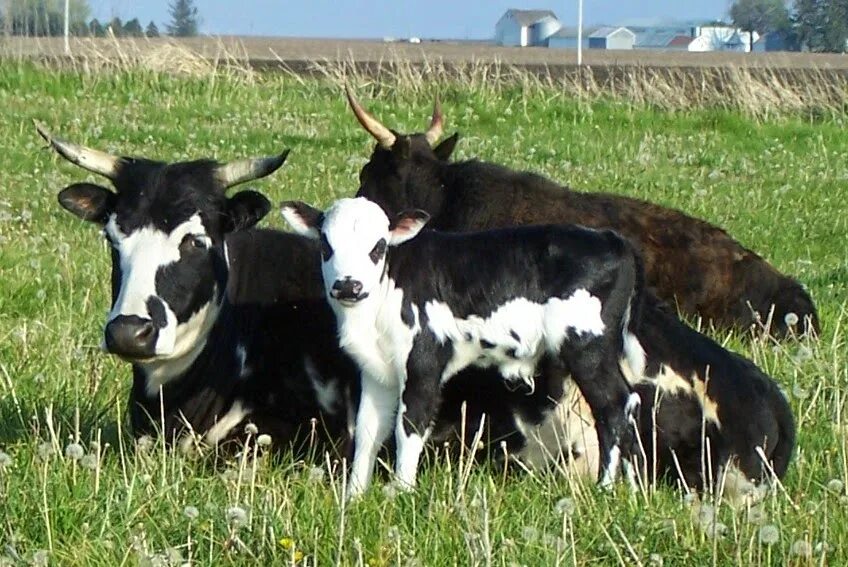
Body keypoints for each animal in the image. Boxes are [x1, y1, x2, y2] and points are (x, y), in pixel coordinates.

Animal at [282, 197, 644, 500]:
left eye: (378, 246)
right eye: (326, 245)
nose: (348, 286)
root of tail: (612, 239)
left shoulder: (424, 364)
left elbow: (409, 427)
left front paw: (402, 492)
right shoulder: (376, 371)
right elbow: (369, 430)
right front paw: (354, 496)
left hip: (587, 345)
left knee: (613, 406)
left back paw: (605, 488)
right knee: (628, 403)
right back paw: (630, 488)